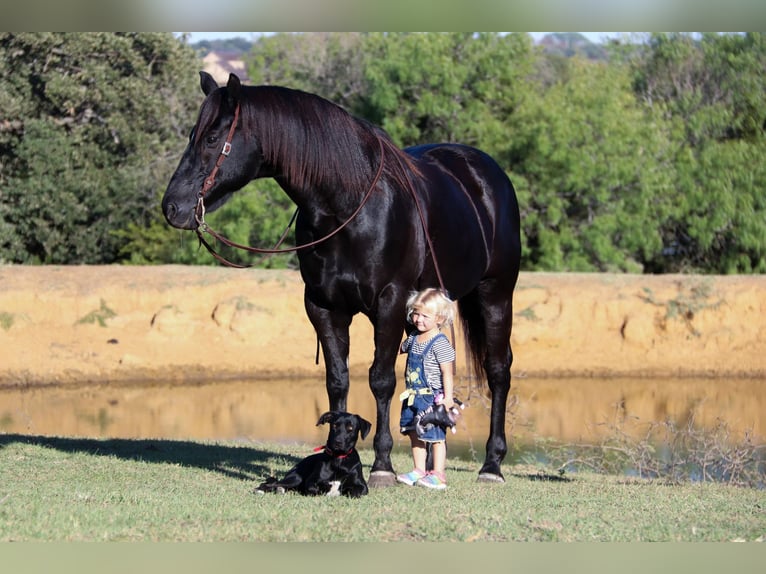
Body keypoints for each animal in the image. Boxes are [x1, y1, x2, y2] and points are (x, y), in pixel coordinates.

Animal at [162, 71, 520, 486]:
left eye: (212, 138)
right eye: (193, 134)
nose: (172, 207)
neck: (348, 206)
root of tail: (486, 173)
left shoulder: (390, 303)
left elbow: (381, 380)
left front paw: (382, 464)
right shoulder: (323, 307)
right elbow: (338, 380)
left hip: (495, 295)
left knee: (498, 371)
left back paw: (492, 464)